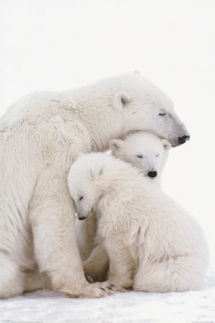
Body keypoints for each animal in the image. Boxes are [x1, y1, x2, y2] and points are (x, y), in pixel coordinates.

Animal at [68, 153, 208, 292]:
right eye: (73, 198)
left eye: (81, 196)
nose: (81, 216)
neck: (115, 184)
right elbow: (103, 242)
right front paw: (87, 271)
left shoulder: (120, 208)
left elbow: (118, 245)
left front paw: (113, 283)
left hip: (175, 262)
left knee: (153, 277)